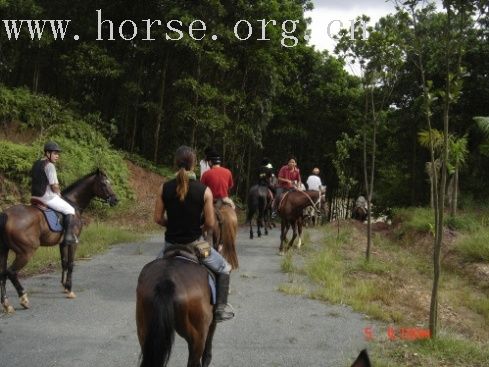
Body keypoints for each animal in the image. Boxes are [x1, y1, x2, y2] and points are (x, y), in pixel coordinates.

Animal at [0, 170, 117, 314]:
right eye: (104, 184)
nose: (115, 200)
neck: (73, 203)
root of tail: (6, 214)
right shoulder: (73, 243)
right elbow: (71, 264)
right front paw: (70, 290)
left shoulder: (63, 243)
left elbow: (64, 263)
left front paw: (65, 286)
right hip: (26, 252)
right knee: (11, 272)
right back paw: (24, 299)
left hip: (4, 251)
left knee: (2, 274)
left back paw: (7, 304)